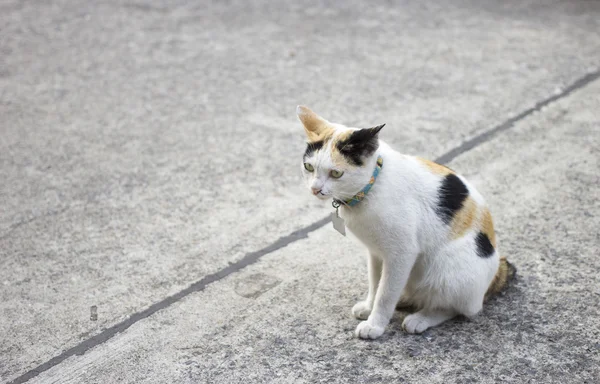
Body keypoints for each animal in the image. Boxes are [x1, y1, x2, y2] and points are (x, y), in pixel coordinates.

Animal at [298, 105, 512, 340]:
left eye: (336, 173)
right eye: (309, 167)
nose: (315, 189)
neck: (371, 187)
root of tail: (496, 274)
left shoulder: (402, 253)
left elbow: (385, 294)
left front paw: (375, 325)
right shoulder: (376, 253)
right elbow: (376, 283)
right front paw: (369, 307)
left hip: (450, 272)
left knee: (458, 308)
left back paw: (421, 318)